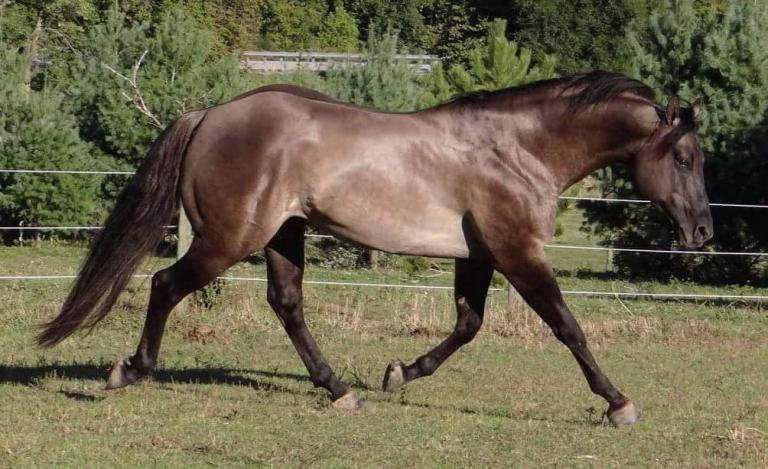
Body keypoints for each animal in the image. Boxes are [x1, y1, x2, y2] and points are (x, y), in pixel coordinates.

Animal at [38, 71, 713, 426]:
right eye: (684, 158)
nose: (704, 234)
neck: (518, 150)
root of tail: (208, 115)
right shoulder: (518, 252)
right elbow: (567, 325)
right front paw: (619, 403)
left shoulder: (478, 256)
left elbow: (467, 324)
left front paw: (398, 373)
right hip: (231, 239)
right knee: (165, 285)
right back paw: (129, 370)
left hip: (282, 235)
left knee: (287, 305)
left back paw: (340, 388)